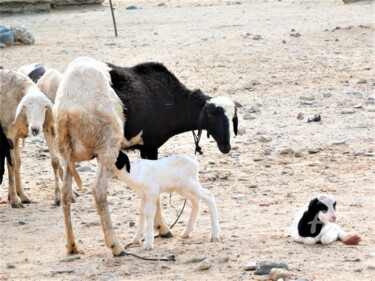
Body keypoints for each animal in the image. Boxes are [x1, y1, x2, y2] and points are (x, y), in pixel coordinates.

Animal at [0, 68, 66, 207]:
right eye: (25, 107)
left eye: (44, 107)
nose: (35, 129)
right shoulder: (9, 134)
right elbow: (11, 164)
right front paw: (15, 199)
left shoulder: (47, 128)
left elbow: (55, 162)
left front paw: (58, 197)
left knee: (18, 162)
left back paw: (22, 195)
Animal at [53, 55, 126, 255]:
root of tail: (66, 112)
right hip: (107, 144)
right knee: (98, 190)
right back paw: (116, 245)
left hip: (64, 151)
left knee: (65, 193)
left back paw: (71, 245)